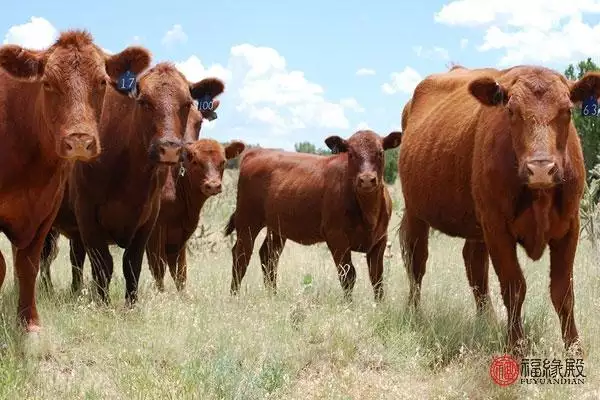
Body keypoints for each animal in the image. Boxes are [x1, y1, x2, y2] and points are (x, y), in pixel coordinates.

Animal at [0, 29, 150, 332]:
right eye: (47, 83)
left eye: (102, 82)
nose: (79, 141)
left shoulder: (45, 212)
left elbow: (28, 265)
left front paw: (29, 324)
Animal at [39, 65, 227, 306]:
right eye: (144, 101)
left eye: (188, 106)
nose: (172, 149)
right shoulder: (87, 214)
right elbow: (104, 265)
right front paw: (103, 305)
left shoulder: (148, 219)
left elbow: (133, 264)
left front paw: (131, 305)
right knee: (43, 257)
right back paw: (46, 290)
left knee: (75, 258)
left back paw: (75, 292)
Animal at [225, 130, 404, 302]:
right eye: (351, 154)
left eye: (380, 152)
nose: (366, 179)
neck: (368, 212)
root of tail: (256, 152)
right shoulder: (336, 238)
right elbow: (348, 276)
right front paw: (349, 306)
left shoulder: (380, 240)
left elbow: (377, 278)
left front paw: (379, 305)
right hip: (247, 222)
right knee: (241, 256)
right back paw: (234, 296)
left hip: (276, 228)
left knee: (268, 256)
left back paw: (272, 295)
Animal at [398, 65, 596, 354]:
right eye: (511, 111)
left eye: (568, 110)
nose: (540, 169)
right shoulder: (497, 227)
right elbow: (514, 287)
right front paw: (516, 346)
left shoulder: (570, 227)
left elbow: (563, 292)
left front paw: (574, 349)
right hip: (415, 211)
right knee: (416, 261)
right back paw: (414, 314)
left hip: (476, 223)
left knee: (474, 264)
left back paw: (487, 320)